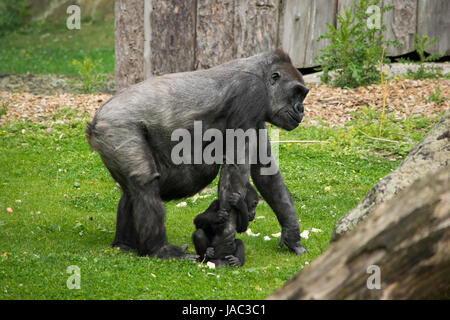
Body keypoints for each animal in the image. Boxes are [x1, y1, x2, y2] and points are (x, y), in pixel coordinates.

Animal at [86, 50, 308, 260]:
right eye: (297, 92)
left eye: (302, 95)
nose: (301, 109)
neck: (260, 75)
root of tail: (95, 121)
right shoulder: (251, 94)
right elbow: (235, 173)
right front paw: (225, 246)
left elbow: (266, 171)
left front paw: (291, 234)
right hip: (116, 128)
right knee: (145, 184)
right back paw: (161, 250)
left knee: (133, 189)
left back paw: (124, 244)